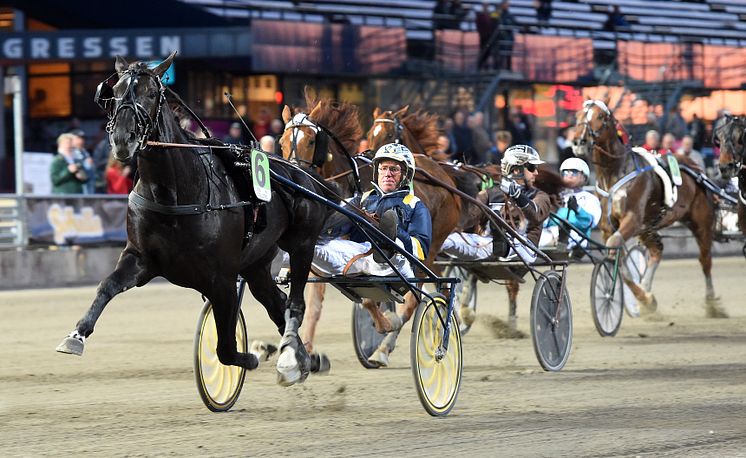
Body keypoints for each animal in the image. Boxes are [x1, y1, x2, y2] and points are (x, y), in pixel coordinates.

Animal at [52, 52, 332, 386]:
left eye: (151, 93)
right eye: (115, 92)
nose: (122, 139)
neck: (174, 193)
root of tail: (304, 175)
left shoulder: (221, 277)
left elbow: (226, 349)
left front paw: (250, 357)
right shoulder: (140, 259)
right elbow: (106, 286)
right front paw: (76, 335)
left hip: (302, 244)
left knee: (295, 304)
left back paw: (292, 357)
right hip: (256, 264)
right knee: (277, 303)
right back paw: (304, 357)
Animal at [568, 98, 720, 316]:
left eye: (600, 116)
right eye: (578, 115)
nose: (579, 142)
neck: (615, 171)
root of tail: (695, 167)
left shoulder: (632, 219)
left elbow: (615, 247)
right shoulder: (608, 226)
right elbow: (621, 262)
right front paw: (645, 298)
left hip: (701, 222)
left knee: (705, 259)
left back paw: (711, 303)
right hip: (648, 226)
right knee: (657, 251)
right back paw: (646, 289)